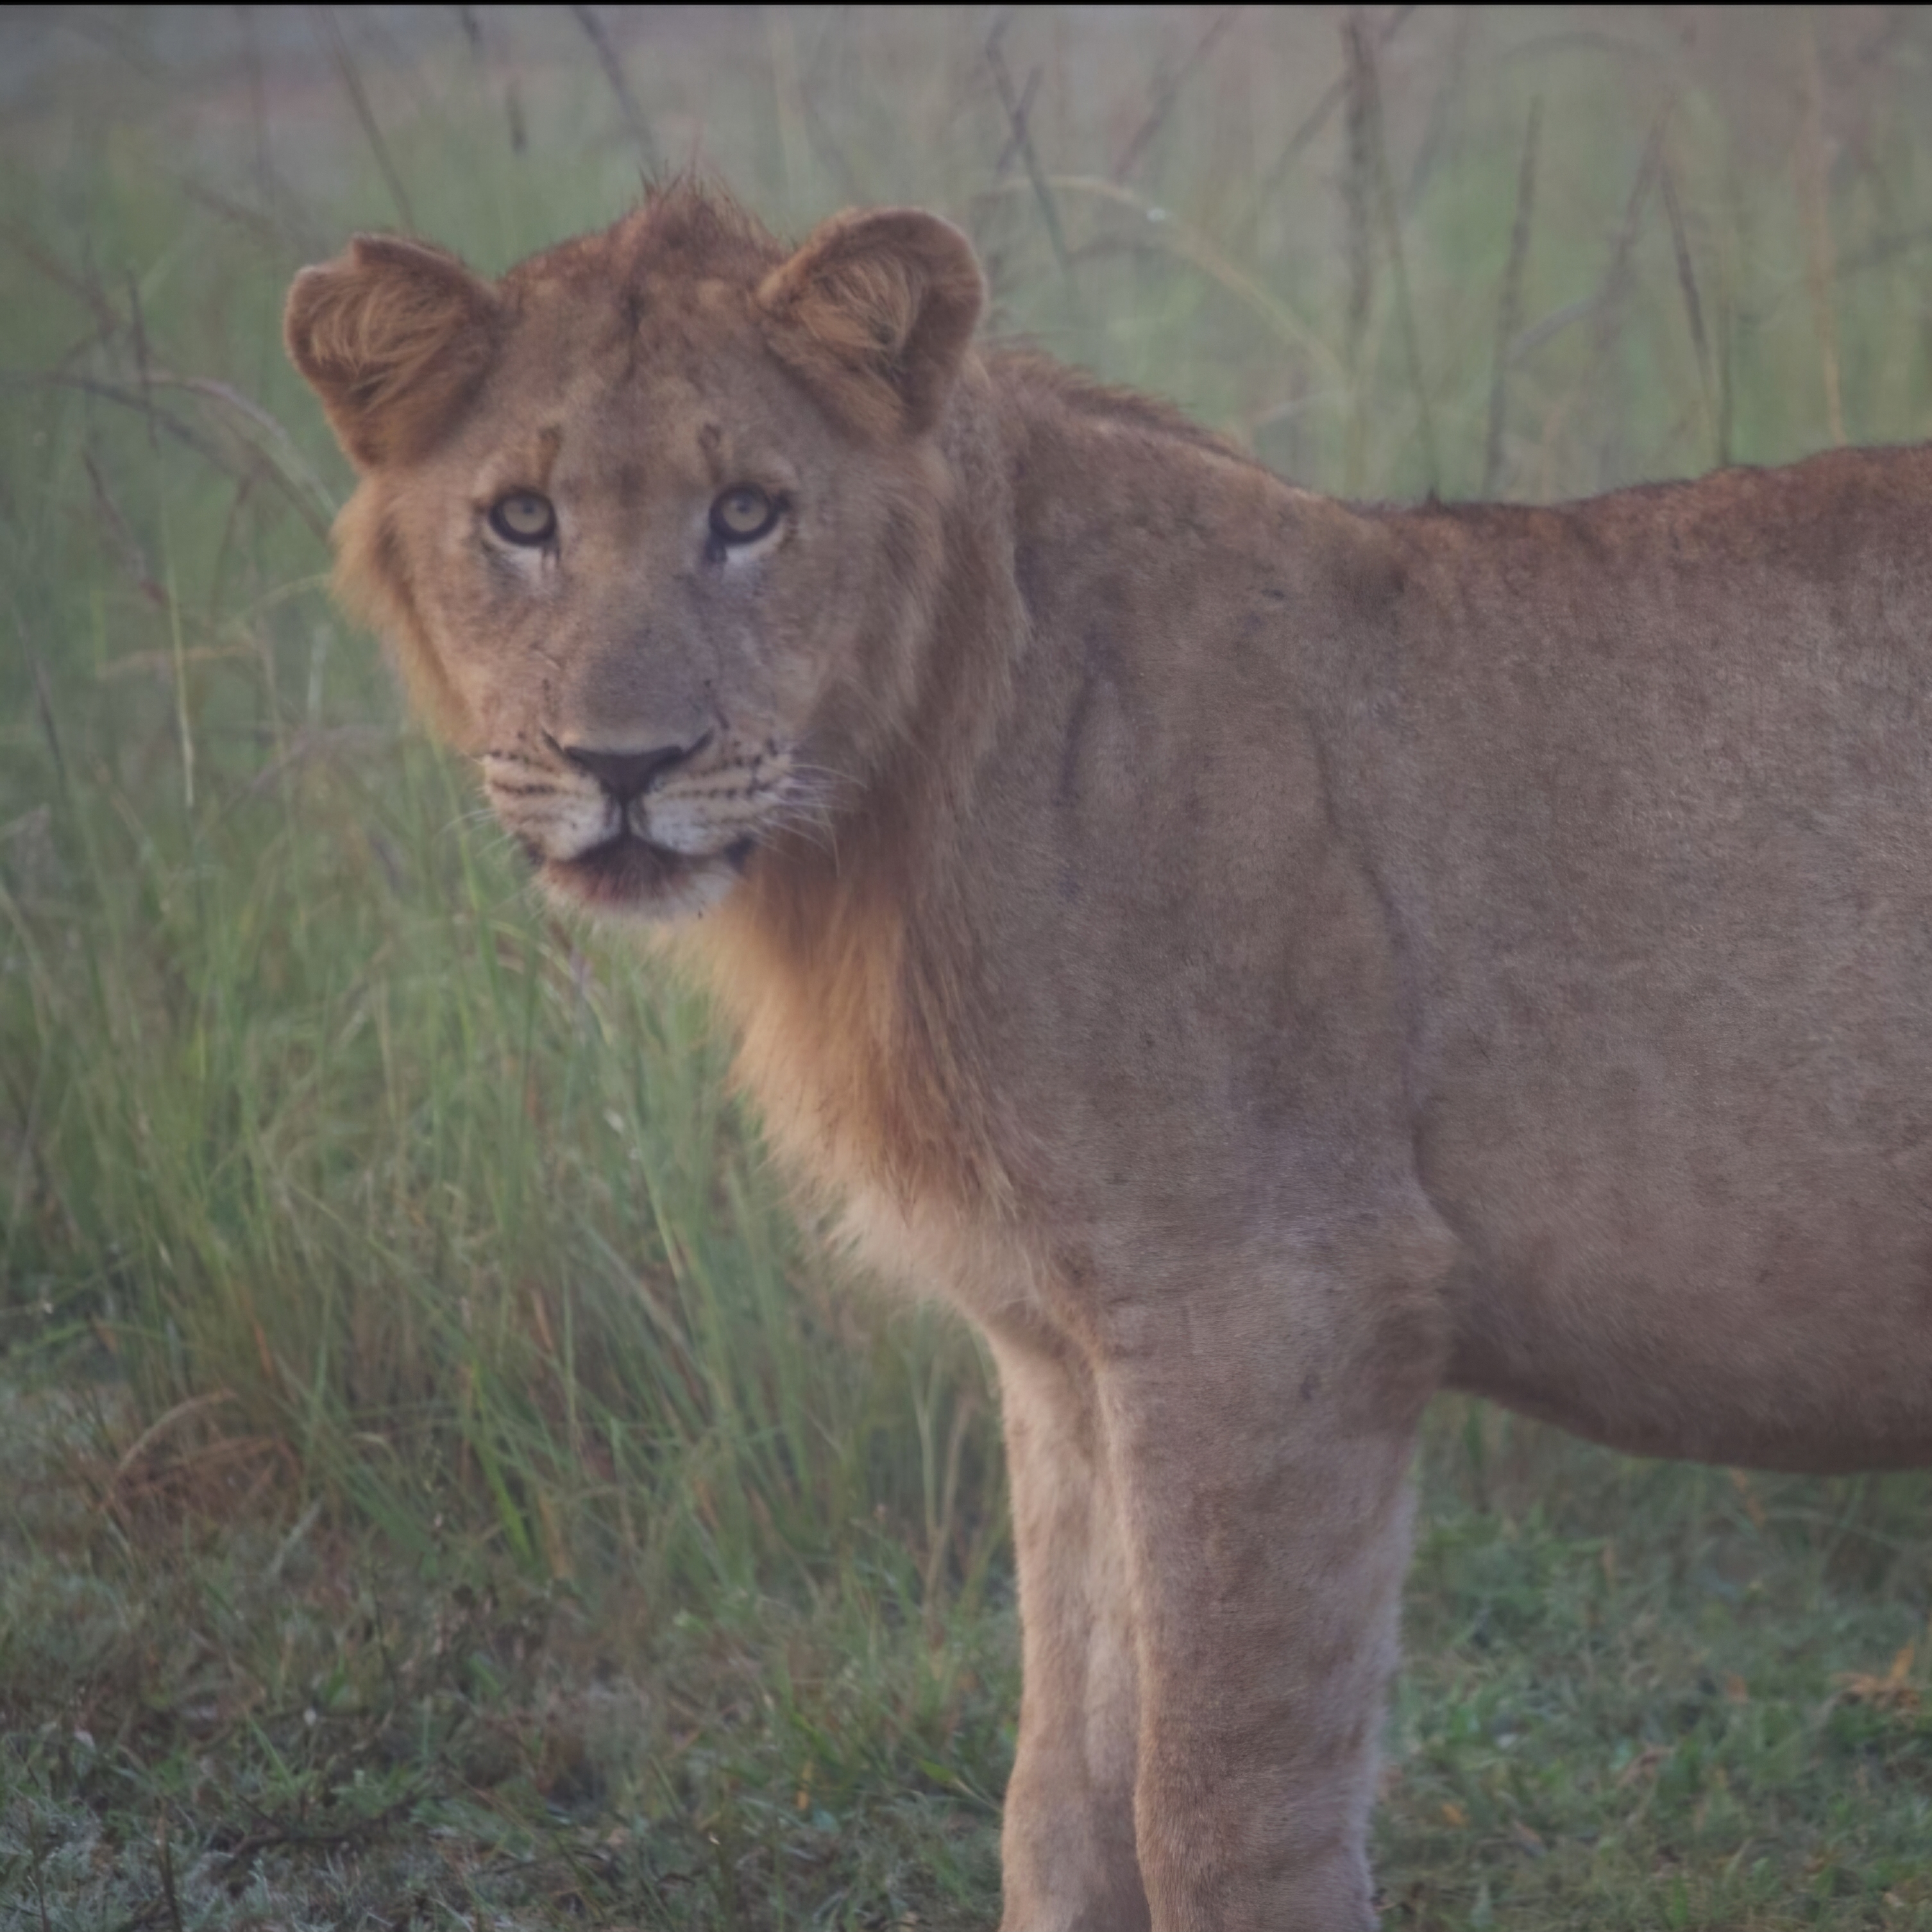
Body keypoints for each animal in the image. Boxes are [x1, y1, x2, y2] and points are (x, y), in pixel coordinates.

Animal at [285, 182, 1932, 1930]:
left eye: (748, 512)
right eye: (521, 518)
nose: (624, 765)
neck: (886, 819)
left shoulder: (1281, 1302)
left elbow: (1214, 1806)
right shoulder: (1063, 1350)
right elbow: (1063, 1794)